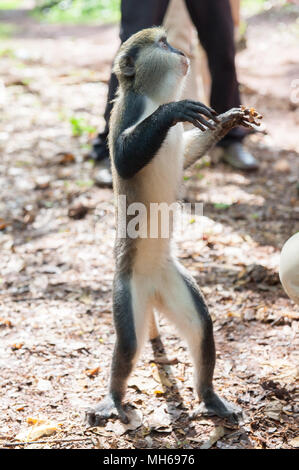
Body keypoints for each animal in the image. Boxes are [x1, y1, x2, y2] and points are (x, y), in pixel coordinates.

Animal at [86, 27, 262, 428]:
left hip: (172, 281)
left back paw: (210, 397)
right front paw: (174, 110)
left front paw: (229, 120)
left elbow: (187, 155)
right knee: (129, 344)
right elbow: (123, 158)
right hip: (128, 289)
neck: (153, 97)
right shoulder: (125, 112)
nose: (182, 51)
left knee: (202, 329)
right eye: (163, 43)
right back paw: (113, 398)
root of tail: (151, 287)